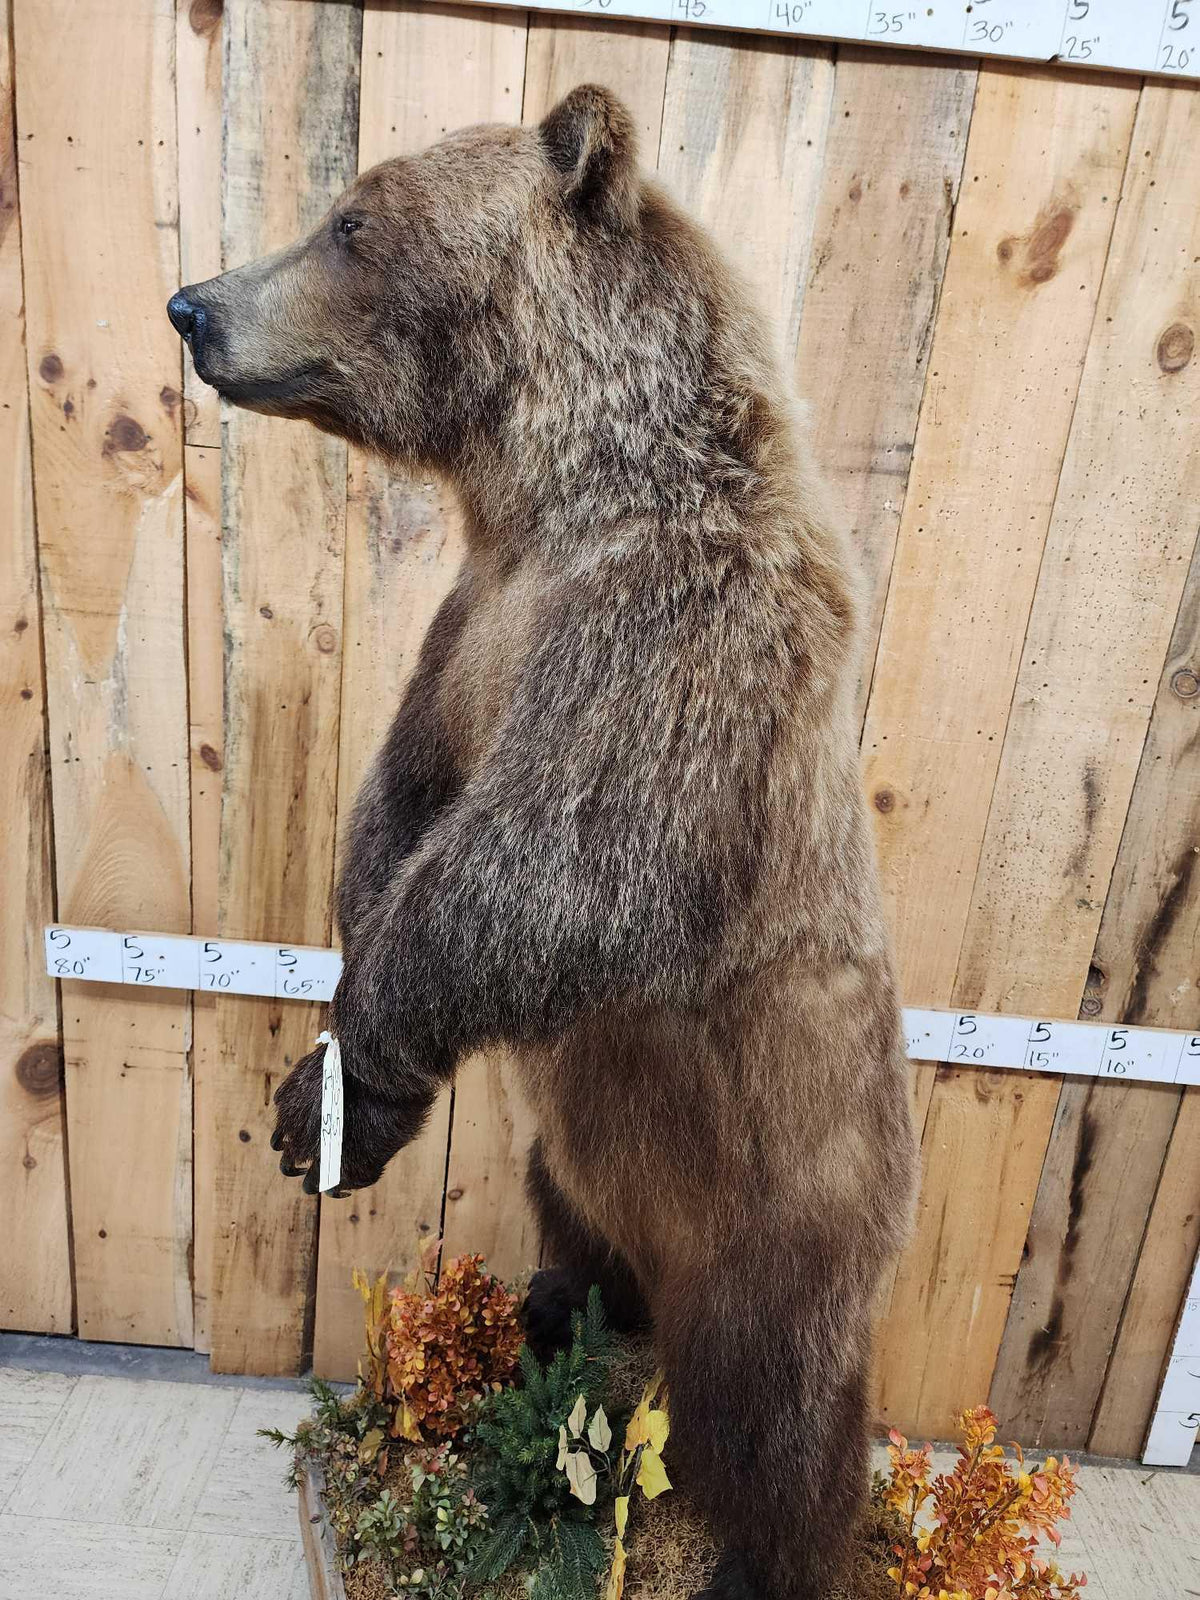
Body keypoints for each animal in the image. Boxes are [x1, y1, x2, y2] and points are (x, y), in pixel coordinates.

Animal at [168, 85, 916, 1600]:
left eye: (352, 221)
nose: (194, 305)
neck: (557, 496)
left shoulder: (677, 645)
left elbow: (559, 871)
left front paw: (324, 1095)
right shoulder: (475, 626)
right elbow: (400, 807)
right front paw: (340, 1091)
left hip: (788, 1199)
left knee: (778, 1408)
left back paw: (767, 1553)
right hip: (583, 1145)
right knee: (569, 1207)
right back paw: (556, 1312)